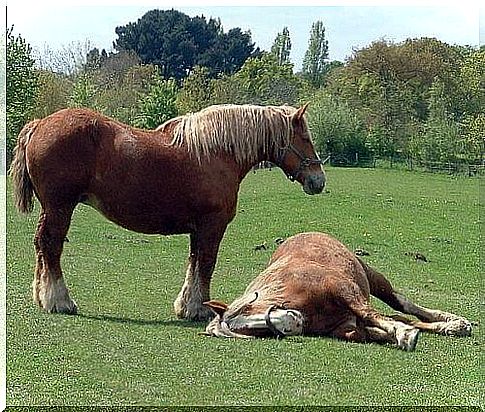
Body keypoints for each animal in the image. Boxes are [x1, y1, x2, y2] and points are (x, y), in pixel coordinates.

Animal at [9, 104, 324, 322]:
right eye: (306, 138)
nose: (318, 181)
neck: (216, 152)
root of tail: (40, 124)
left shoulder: (198, 228)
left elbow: (194, 263)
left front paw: (187, 306)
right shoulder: (212, 225)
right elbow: (206, 264)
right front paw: (200, 308)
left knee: (41, 246)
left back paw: (42, 297)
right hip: (60, 207)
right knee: (51, 246)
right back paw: (59, 301)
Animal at [203, 233, 468, 350]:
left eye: (249, 307)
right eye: (250, 331)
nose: (291, 322)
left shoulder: (345, 289)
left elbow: (374, 316)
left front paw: (404, 335)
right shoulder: (347, 325)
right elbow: (364, 331)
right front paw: (397, 334)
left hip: (372, 277)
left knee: (401, 304)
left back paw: (453, 321)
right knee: (397, 315)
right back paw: (450, 327)